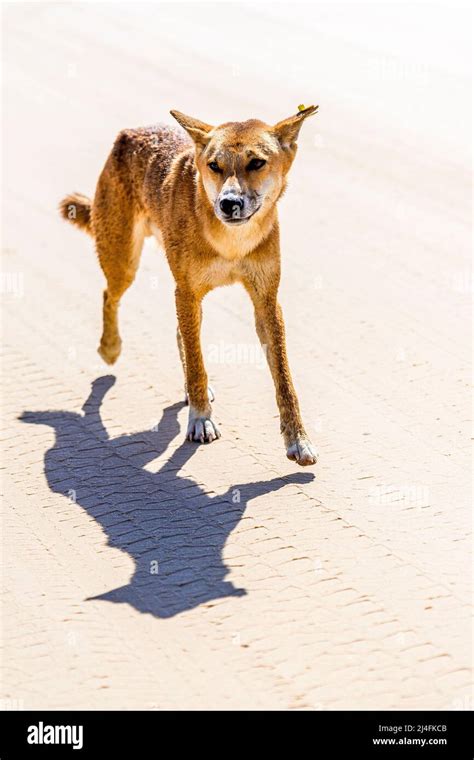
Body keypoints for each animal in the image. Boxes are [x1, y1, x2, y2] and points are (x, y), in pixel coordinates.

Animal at [59, 105, 318, 464]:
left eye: (256, 163)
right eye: (214, 166)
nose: (228, 203)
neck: (231, 242)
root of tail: (132, 131)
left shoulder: (266, 300)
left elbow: (284, 380)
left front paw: (298, 439)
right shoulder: (188, 291)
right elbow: (197, 364)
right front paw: (201, 419)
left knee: (180, 333)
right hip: (124, 262)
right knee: (110, 295)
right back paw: (110, 347)